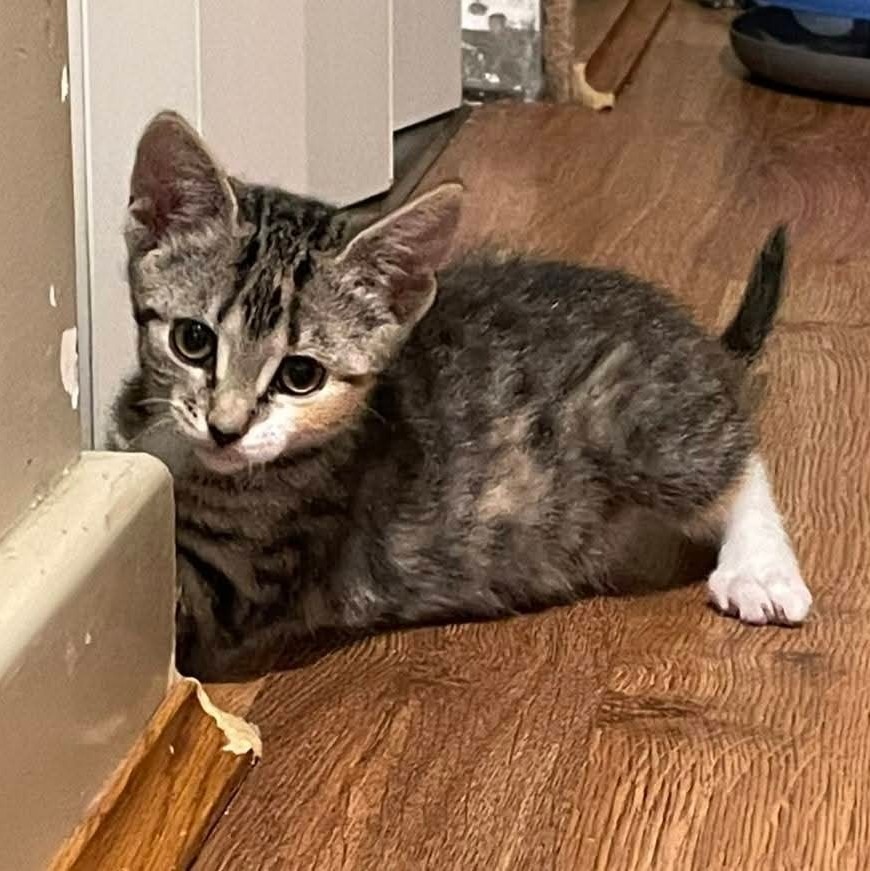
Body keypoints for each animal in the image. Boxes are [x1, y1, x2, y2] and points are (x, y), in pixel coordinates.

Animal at [112, 111, 812, 680]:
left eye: (300, 375)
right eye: (193, 340)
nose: (225, 428)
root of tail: (698, 342)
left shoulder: (238, 579)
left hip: (634, 422)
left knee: (738, 461)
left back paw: (760, 567)